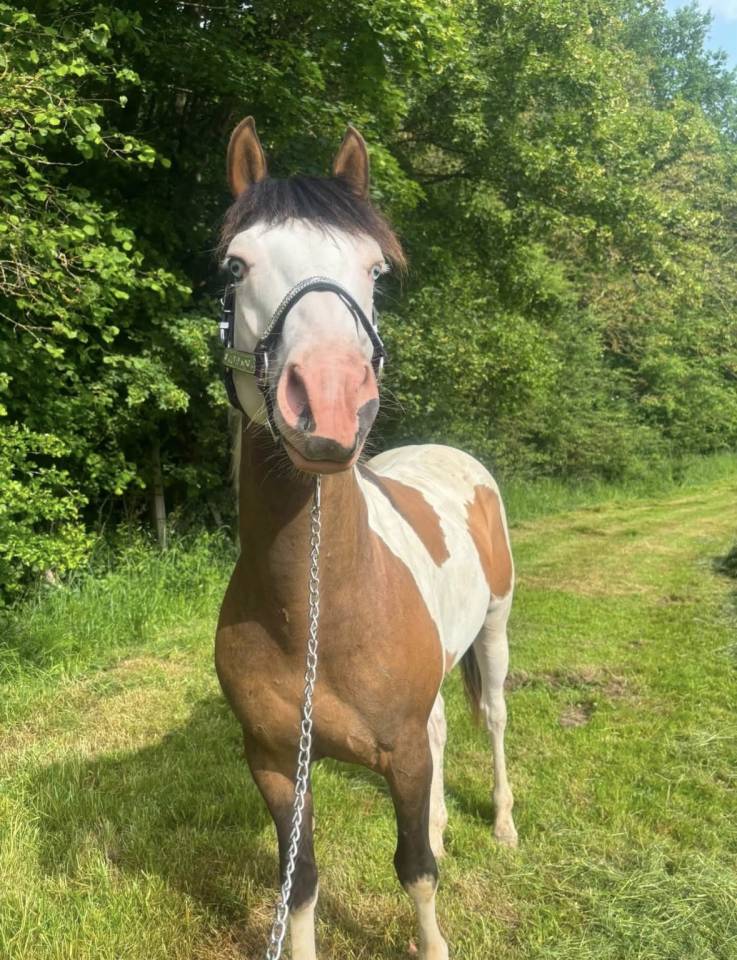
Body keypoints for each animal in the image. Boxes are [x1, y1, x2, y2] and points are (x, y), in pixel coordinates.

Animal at [214, 117, 517, 960]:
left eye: (374, 269)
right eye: (233, 265)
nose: (327, 401)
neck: (314, 613)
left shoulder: (400, 753)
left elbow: (413, 870)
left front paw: (432, 942)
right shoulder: (275, 763)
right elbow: (301, 881)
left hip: (495, 628)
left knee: (490, 719)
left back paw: (503, 825)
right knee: (446, 726)